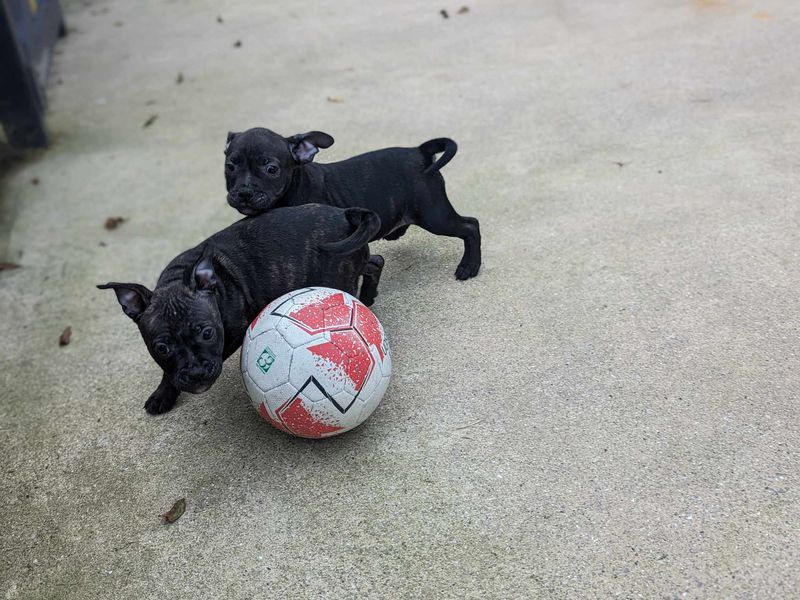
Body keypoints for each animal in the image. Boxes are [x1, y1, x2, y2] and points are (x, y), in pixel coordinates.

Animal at [97, 204, 384, 414]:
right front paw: (163, 393)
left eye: (208, 334)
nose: (196, 373)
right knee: (375, 262)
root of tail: (344, 214)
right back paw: (368, 296)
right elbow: (168, 370)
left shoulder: (234, 332)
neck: (178, 279)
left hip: (336, 275)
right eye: (161, 348)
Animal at [222, 127, 482, 282]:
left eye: (271, 169)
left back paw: (469, 266)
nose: (244, 192)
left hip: (433, 214)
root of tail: (419, 152)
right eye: (230, 166)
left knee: (470, 225)